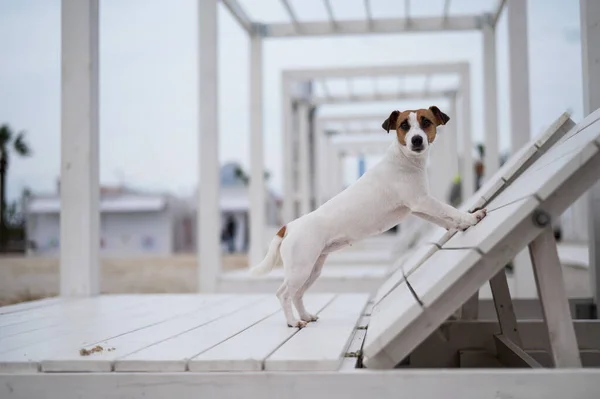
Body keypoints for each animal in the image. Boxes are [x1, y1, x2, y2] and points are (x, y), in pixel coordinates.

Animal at [250, 105, 488, 328]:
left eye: (426, 122)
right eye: (404, 125)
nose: (417, 139)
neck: (404, 160)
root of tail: (289, 226)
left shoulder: (420, 208)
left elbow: (443, 218)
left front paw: (459, 227)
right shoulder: (423, 202)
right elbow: (450, 210)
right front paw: (471, 218)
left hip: (312, 270)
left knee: (298, 294)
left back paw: (305, 316)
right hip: (299, 269)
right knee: (284, 294)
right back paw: (293, 322)